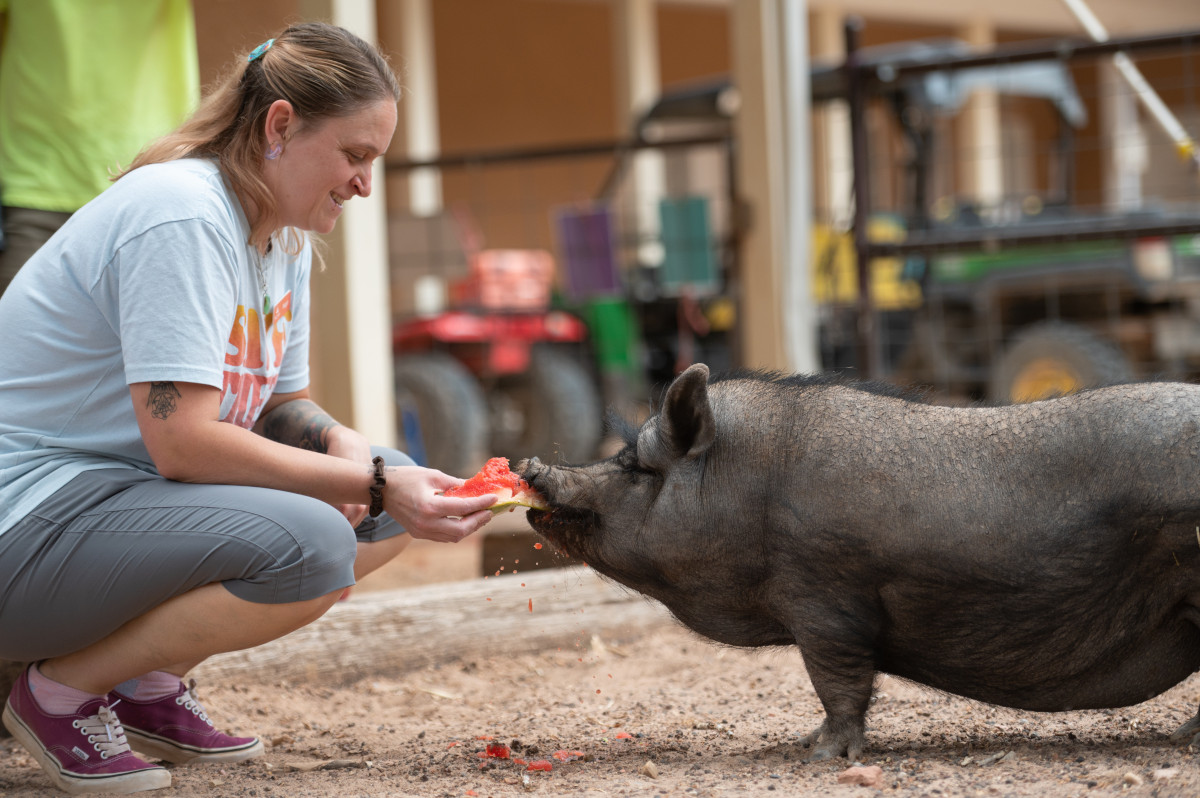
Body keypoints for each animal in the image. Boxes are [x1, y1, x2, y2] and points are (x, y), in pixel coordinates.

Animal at [523, 362, 1200, 758]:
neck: (753, 491)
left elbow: (838, 682)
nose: (531, 466)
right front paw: (800, 745)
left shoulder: (824, 600)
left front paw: (818, 755)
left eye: (637, 467)